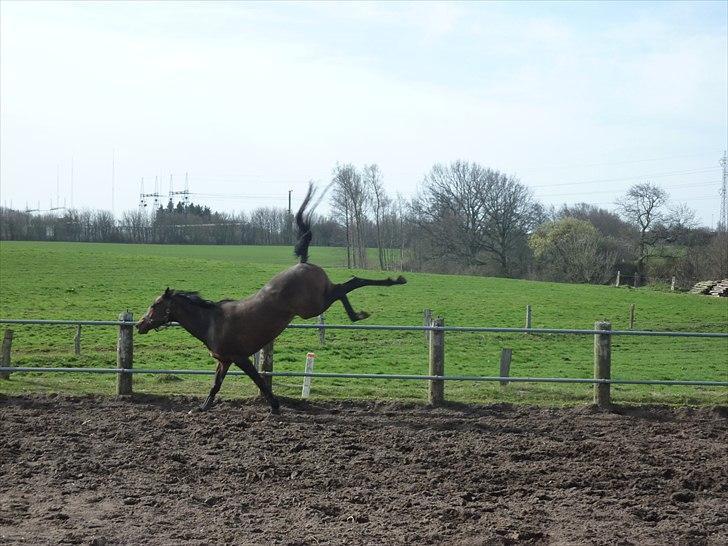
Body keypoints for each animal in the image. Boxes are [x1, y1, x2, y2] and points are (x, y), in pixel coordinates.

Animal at [136, 184, 406, 412]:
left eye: (155, 304)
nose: (140, 324)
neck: (211, 322)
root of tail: (303, 263)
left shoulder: (240, 358)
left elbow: (259, 381)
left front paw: (275, 406)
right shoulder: (225, 361)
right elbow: (215, 385)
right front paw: (202, 407)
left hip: (312, 306)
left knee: (349, 284)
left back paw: (385, 290)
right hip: (318, 299)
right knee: (345, 288)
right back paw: (365, 307)